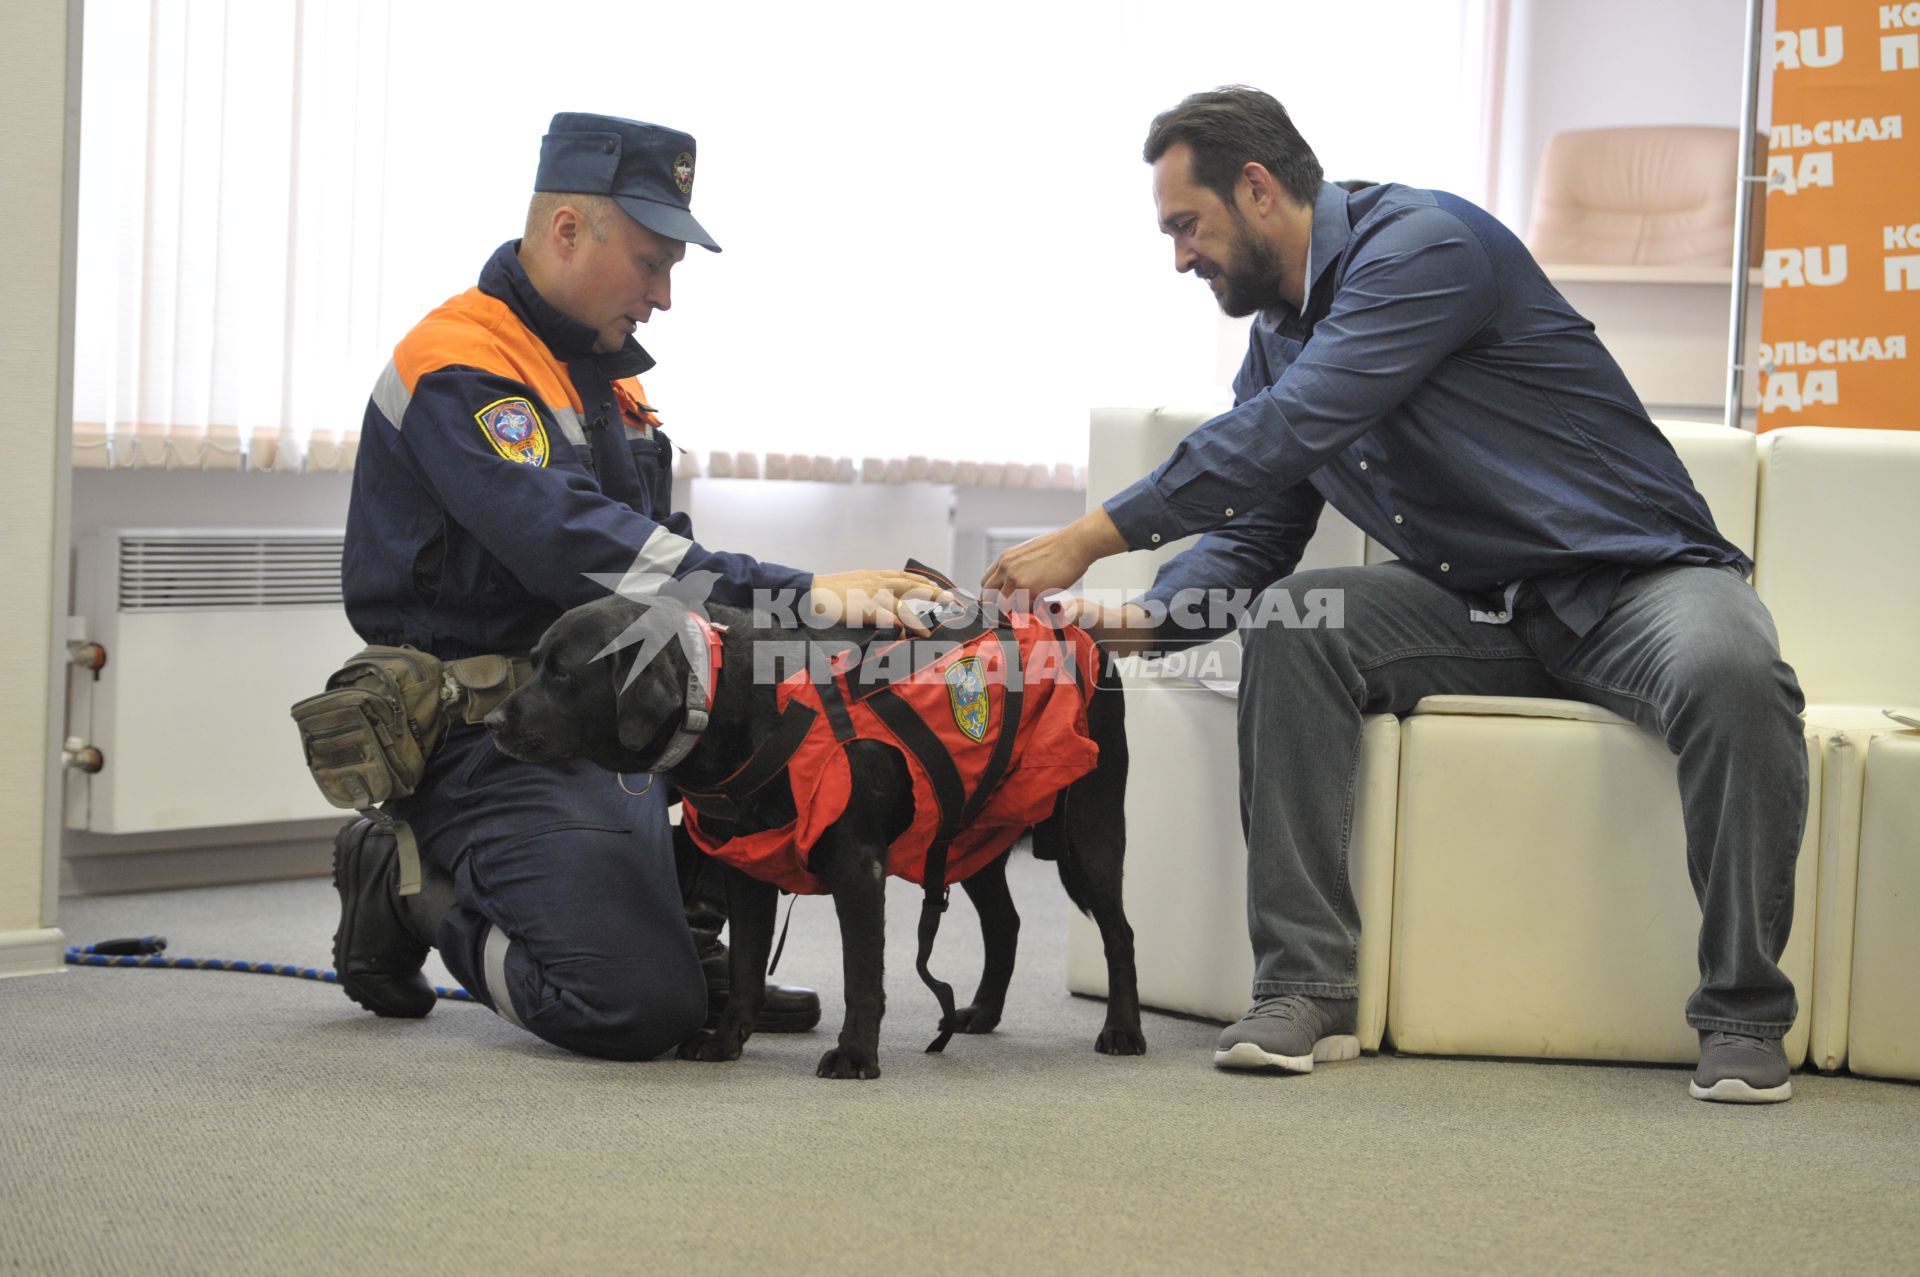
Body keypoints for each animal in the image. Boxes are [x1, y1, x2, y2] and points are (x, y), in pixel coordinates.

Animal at [487, 591, 1136, 1075]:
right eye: (534, 660)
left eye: (562, 674)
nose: (491, 721)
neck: (732, 700)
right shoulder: (746, 872)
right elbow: (747, 970)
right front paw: (726, 1042)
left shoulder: (858, 868)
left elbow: (861, 975)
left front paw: (856, 1055)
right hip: (967, 837)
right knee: (1006, 924)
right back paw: (980, 1012)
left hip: (1088, 833)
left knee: (1120, 934)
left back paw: (1122, 1029)